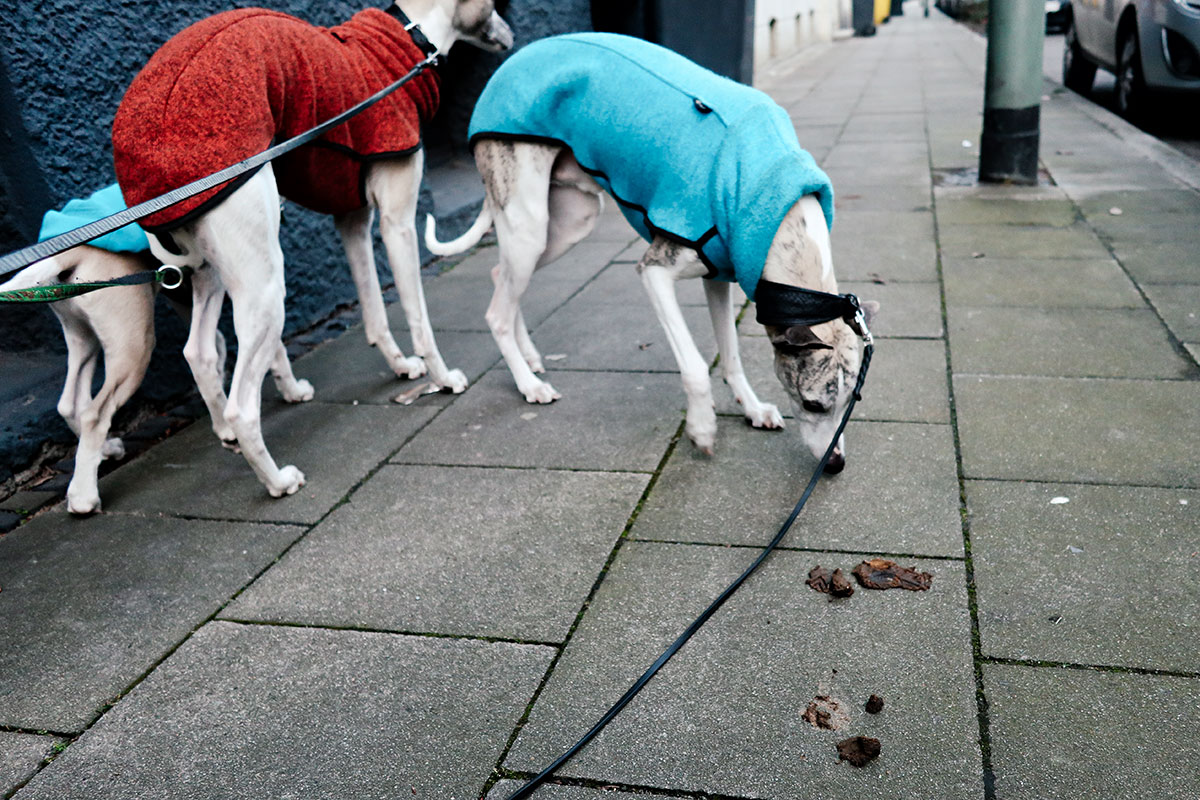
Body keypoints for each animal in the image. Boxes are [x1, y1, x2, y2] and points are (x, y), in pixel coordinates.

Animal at [106, 0, 511, 496]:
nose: (510, 35)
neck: (409, 31)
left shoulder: (353, 219)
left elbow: (375, 311)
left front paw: (400, 365)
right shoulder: (397, 222)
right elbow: (418, 317)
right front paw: (443, 377)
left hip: (212, 272)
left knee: (199, 352)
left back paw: (230, 430)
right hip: (263, 284)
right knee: (243, 405)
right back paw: (277, 480)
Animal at [427, 37, 878, 472]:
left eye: (852, 404)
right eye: (812, 404)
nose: (835, 465)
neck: (779, 213)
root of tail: (516, 57)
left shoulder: (720, 273)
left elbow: (731, 355)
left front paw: (751, 409)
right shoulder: (655, 270)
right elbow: (695, 365)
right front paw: (702, 427)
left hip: (569, 222)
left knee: (499, 276)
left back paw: (531, 356)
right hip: (527, 218)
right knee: (497, 311)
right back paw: (528, 384)